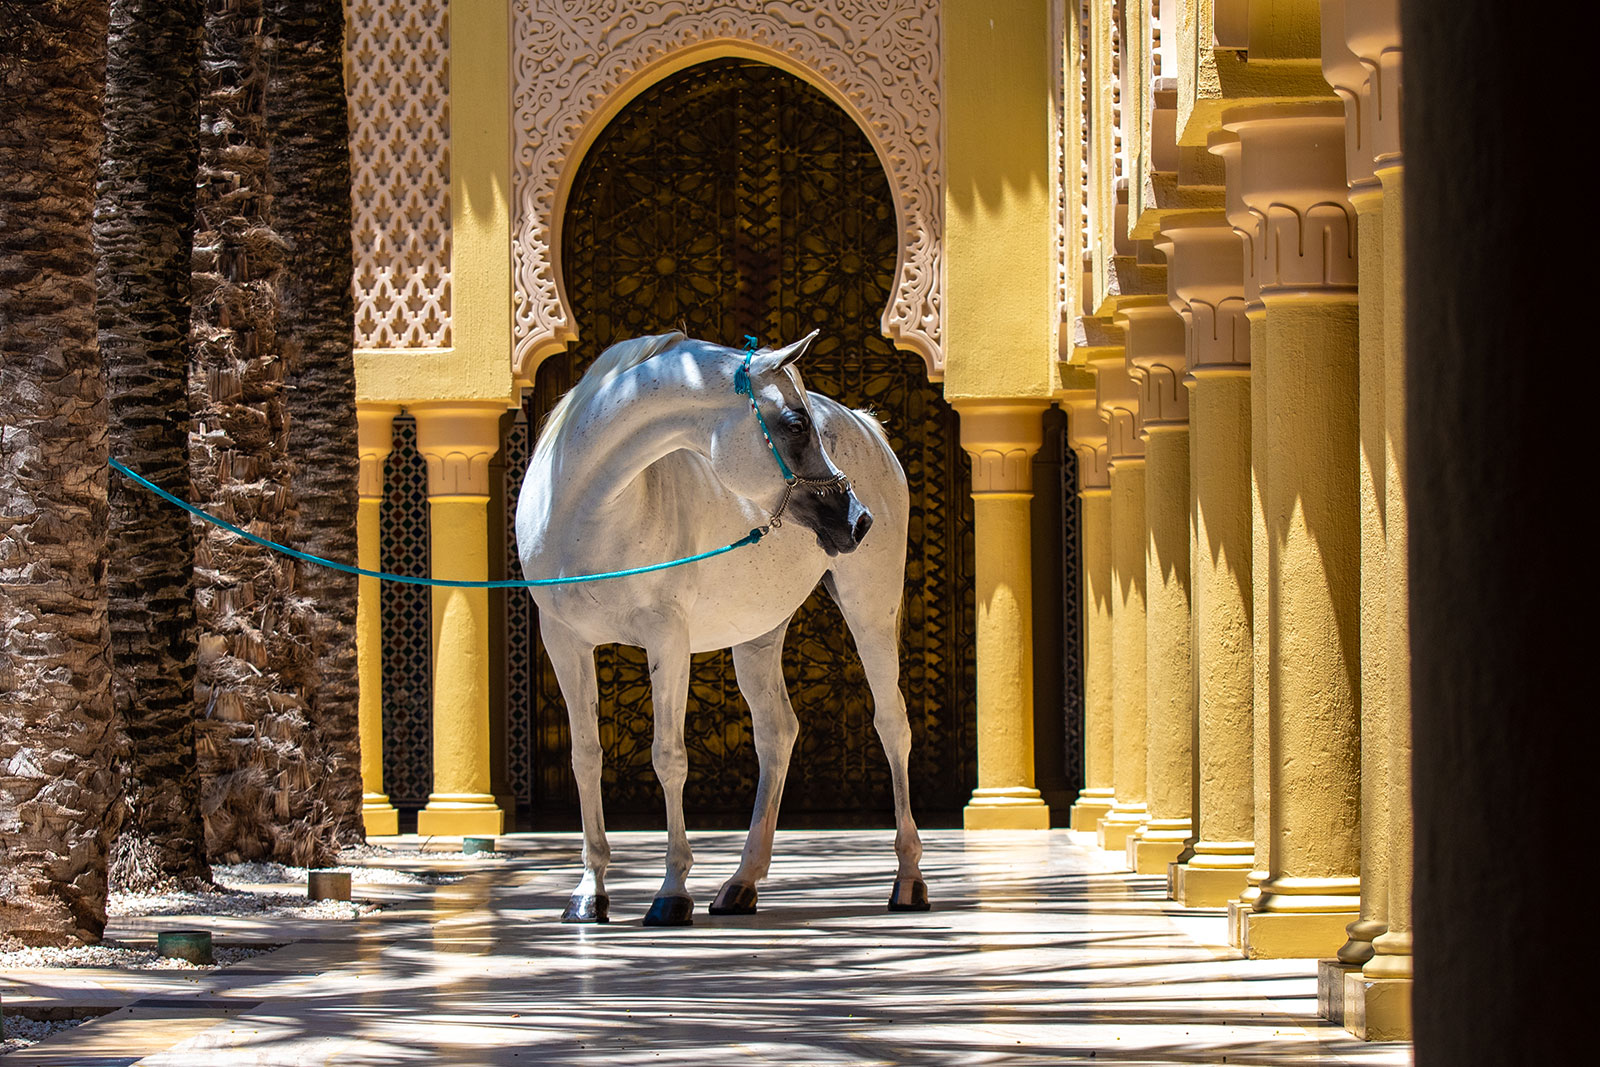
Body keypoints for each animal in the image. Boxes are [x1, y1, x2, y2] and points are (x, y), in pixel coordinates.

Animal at [515, 330, 929, 926]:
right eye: (795, 424)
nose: (858, 519)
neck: (588, 512)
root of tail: (866, 426)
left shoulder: (666, 637)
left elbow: (668, 757)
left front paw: (671, 892)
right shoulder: (563, 641)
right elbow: (585, 757)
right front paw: (589, 891)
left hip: (870, 608)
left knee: (892, 725)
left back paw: (908, 879)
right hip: (760, 630)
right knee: (777, 733)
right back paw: (741, 882)